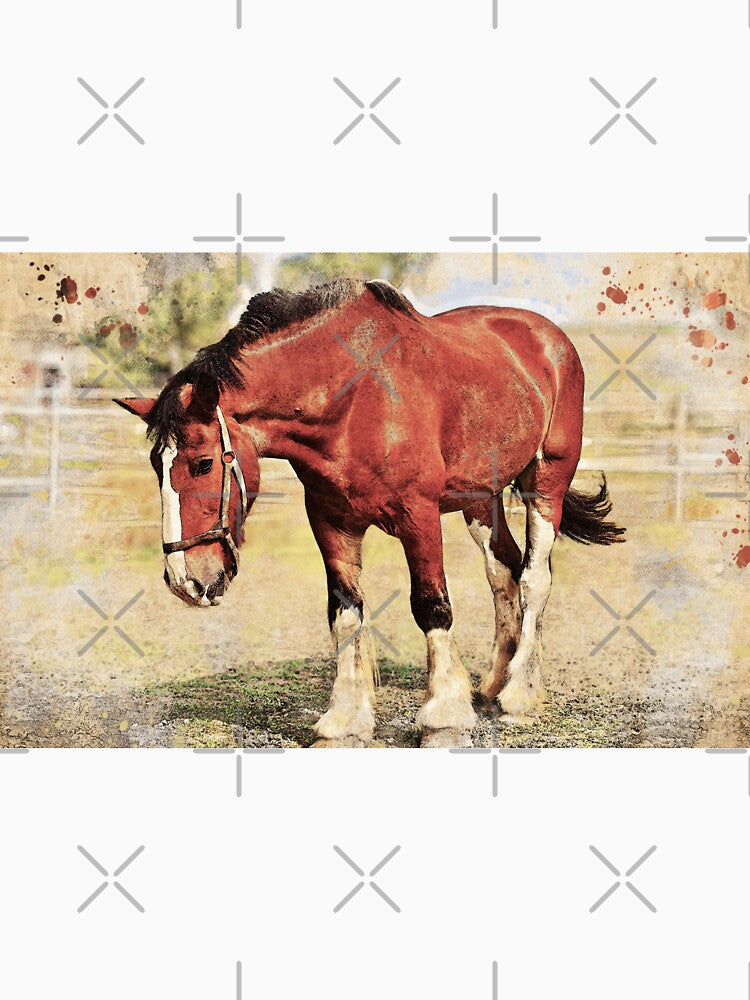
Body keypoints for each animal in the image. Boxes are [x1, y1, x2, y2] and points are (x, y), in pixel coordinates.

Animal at [116, 278, 624, 747]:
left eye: (202, 463)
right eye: (156, 466)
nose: (184, 580)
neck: (352, 398)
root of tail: (549, 338)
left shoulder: (419, 517)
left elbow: (432, 607)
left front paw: (443, 717)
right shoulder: (331, 521)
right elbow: (345, 612)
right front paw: (344, 719)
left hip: (546, 484)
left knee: (535, 578)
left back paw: (519, 694)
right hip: (481, 499)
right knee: (504, 572)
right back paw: (494, 685)